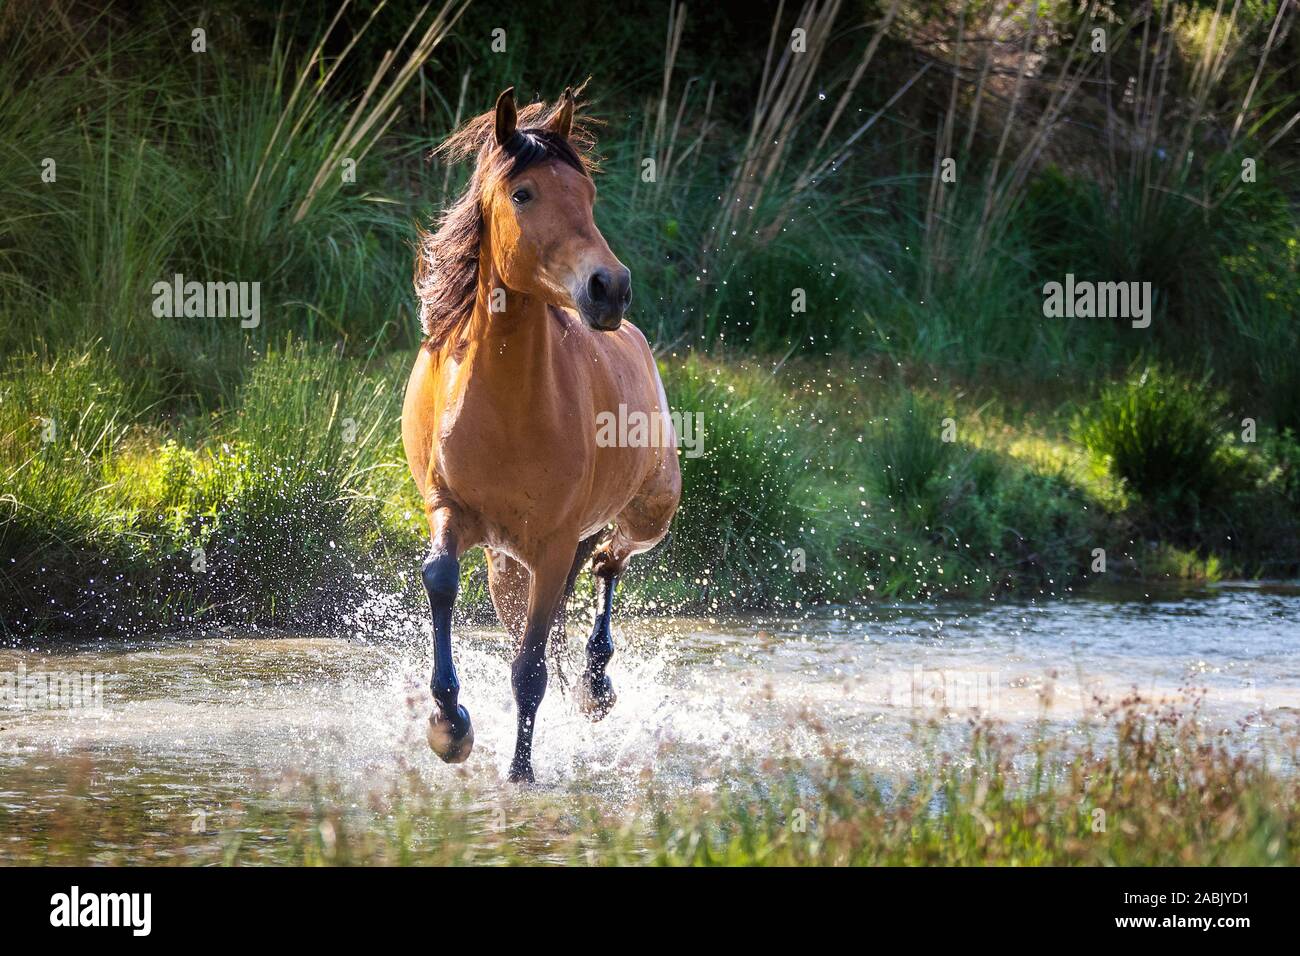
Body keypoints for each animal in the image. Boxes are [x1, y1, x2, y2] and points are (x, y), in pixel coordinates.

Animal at [402, 87, 682, 783]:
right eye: (522, 193)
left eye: (587, 195)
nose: (610, 288)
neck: (507, 409)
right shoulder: (451, 510)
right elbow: (440, 580)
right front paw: (449, 726)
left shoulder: (554, 546)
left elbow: (529, 670)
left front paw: (520, 772)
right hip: (507, 563)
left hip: (646, 516)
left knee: (609, 561)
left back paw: (597, 683)